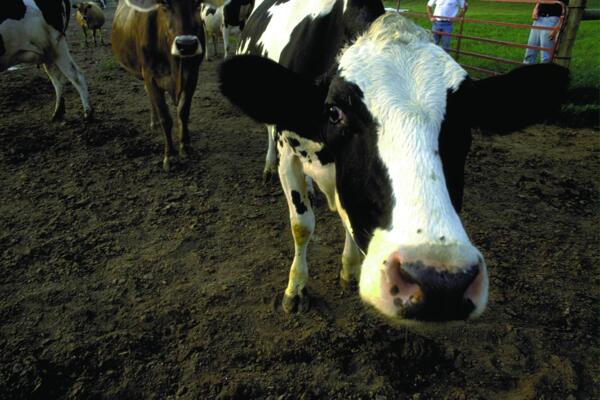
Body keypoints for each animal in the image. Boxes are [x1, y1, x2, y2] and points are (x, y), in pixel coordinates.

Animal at [111, 0, 205, 170]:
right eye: (165, 3)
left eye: (197, 3)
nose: (187, 44)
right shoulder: (150, 76)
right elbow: (165, 117)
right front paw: (169, 156)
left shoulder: (193, 75)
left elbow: (183, 112)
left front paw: (185, 147)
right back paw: (154, 122)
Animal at [218, 0, 564, 320]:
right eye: (334, 111)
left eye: (465, 121)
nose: (440, 282)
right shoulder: (289, 151)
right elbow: (302, 226)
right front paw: (296, 289)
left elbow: (347, 217)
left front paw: (349, 269)